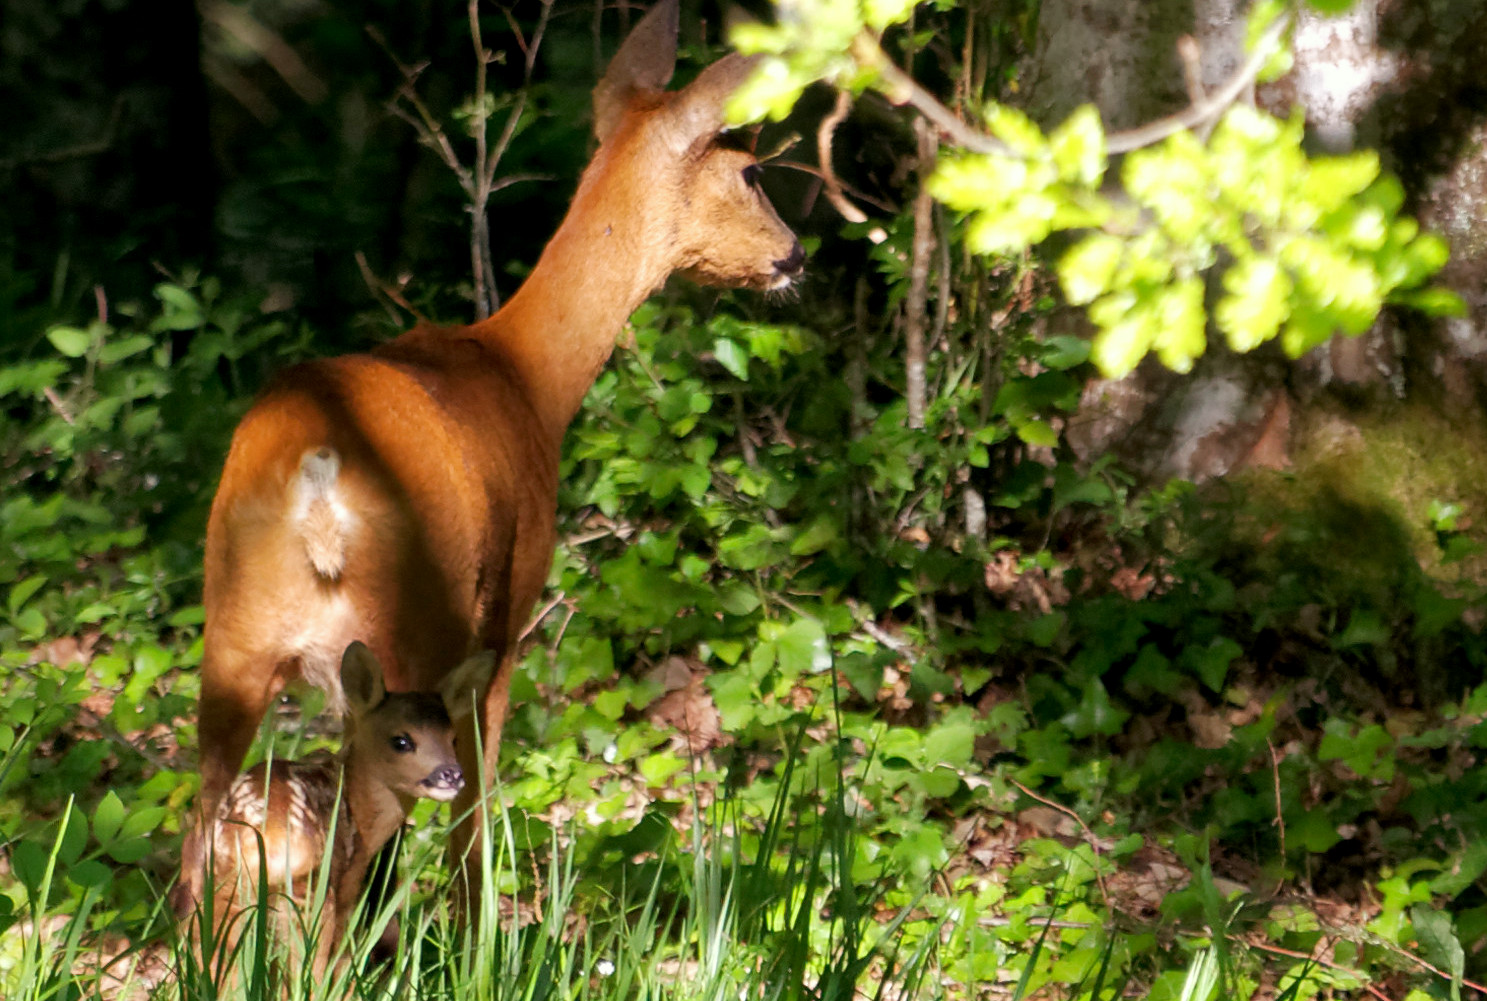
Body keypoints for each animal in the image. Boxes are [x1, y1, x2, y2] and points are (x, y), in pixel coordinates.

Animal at [181, 0, 808, 904]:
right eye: (753, 171)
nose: (795, 253)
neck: (524, 377)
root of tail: (316, 482)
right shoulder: (508, 617)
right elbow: (473, 818)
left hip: (234, 632)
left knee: (197, 838)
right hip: (413, 624)